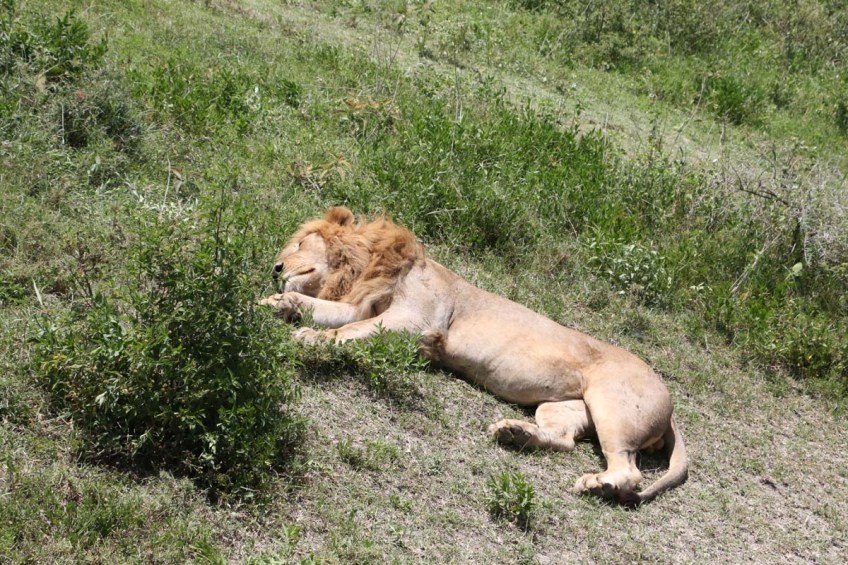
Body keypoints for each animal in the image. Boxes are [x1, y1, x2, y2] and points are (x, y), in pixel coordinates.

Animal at [261, 206, 688, 506]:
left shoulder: (414, 321)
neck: (366, 266)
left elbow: (345, 332)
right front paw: (274, 303)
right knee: (565, 440)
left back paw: (598, 485)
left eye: (298, 245)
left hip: (612, 408)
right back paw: (516, 433)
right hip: (564, 407)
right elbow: (317, 307)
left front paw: (309, 338)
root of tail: (670, 404)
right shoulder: (360, 306)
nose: (275, 268)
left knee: (629, 471)